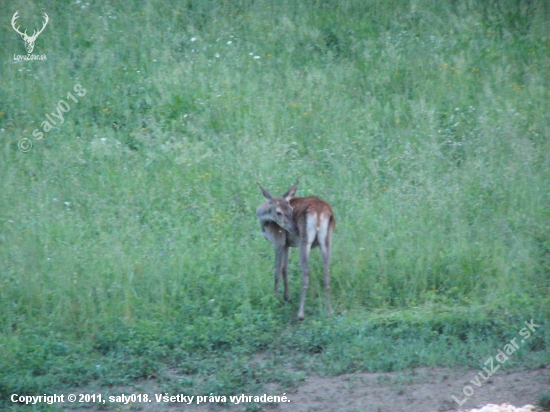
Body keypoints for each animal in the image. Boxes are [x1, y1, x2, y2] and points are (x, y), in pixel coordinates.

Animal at [256, 180, 336, 318]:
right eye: (279, 212)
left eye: (291, 209)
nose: (293, 228)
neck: (264, 223)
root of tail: (320, 212)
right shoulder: (287, 245)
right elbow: (285, 268)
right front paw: (286, 296)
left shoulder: (279, 241)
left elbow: (277, 271)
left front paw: (275, 299)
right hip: (327, 239)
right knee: (326, 271)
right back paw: (330, 310)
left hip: (304, 239)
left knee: (306, 271)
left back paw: (300, 313)